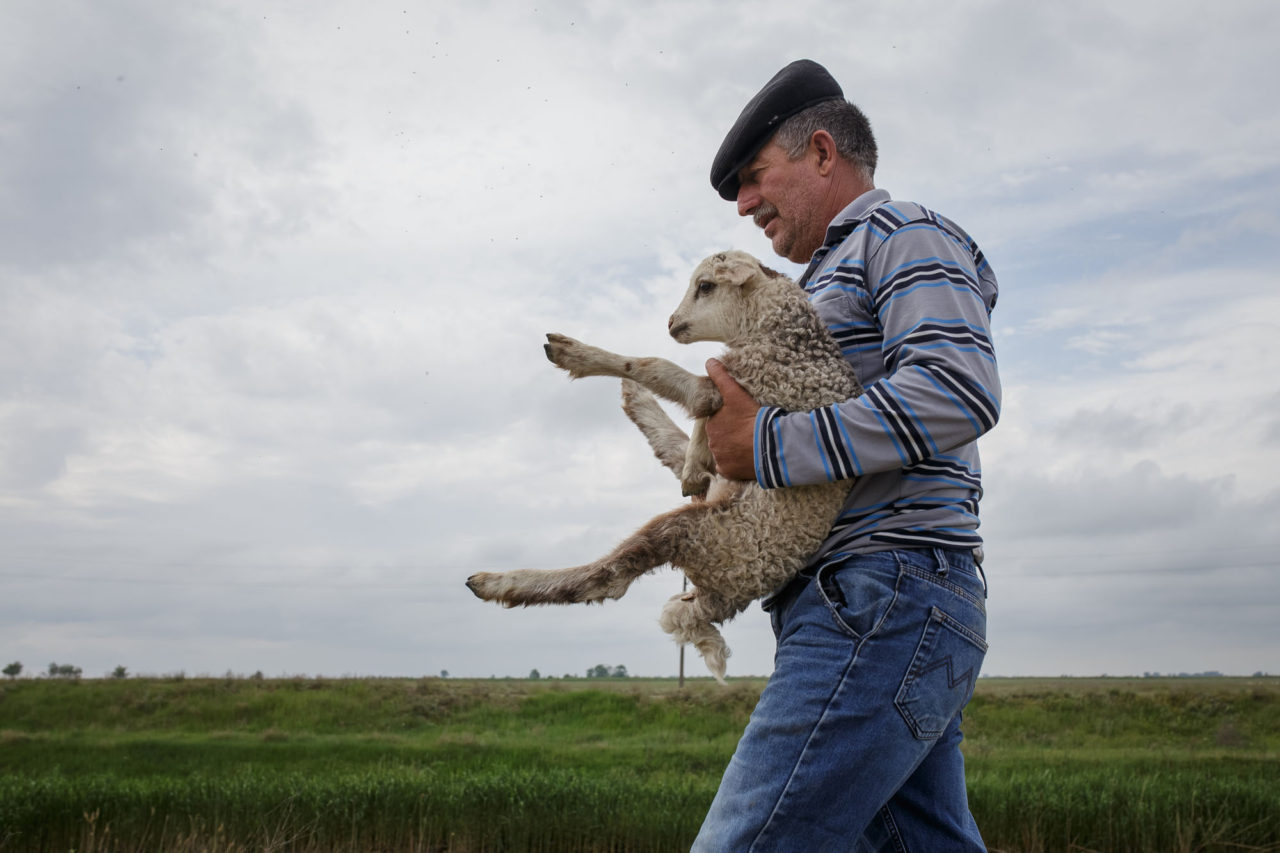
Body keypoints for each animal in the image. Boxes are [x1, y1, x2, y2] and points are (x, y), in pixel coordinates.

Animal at [465, 249, 865, 681]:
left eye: (705, 286)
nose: (671, 323)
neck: (781, 328)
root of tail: (725, 597)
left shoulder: (743, 383)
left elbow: (655, 366)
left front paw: (578, 355)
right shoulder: (723, 392)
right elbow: (690, 420)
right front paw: (689, 462)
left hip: (700, 533)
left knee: (607, 578)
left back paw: (497, 583)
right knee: (671, 449)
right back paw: (643, 409)